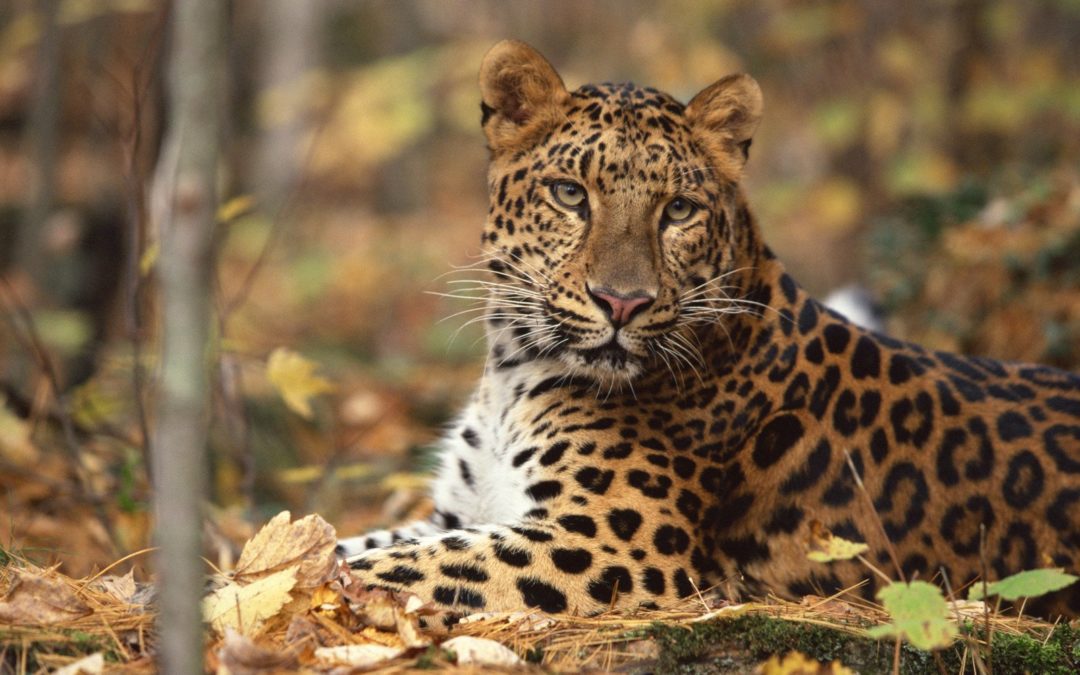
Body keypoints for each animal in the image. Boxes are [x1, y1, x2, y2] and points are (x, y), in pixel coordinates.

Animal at [337, 39, 1080, 618]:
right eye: (571, 194)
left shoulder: (605, 542)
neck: (514, 370)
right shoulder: (462, 512)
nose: (622, 303)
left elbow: (387, 567)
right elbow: (354, 541)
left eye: (679, 210)